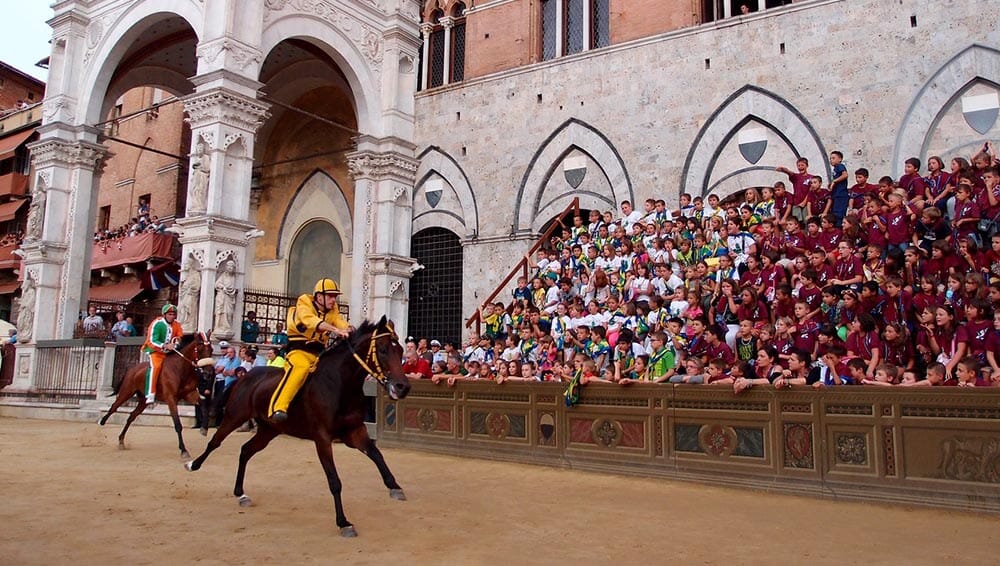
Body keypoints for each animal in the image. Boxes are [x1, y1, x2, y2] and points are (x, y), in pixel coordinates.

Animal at [184, 318, 410, 540]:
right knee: (215, 442)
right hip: (234, 416)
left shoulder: (355, 432)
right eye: (383, 349)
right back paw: (193, 464)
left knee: (246, 450)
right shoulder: (322, 438)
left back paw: (241, 493)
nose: (403, 387)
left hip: (269, 429)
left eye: (400, 350)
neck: (339, 384)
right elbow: (334, 480)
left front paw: (395, 487)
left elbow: (377, 455)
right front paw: (344, 522)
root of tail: (245, 376)